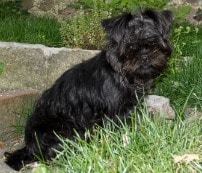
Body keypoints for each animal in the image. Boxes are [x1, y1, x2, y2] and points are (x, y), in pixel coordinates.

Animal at [4, 9, 172, 170]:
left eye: (153, 42)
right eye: (130, 46)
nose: (145, 56)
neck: (121, 74)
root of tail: (29, 147)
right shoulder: (113, 116)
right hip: (60, 129)